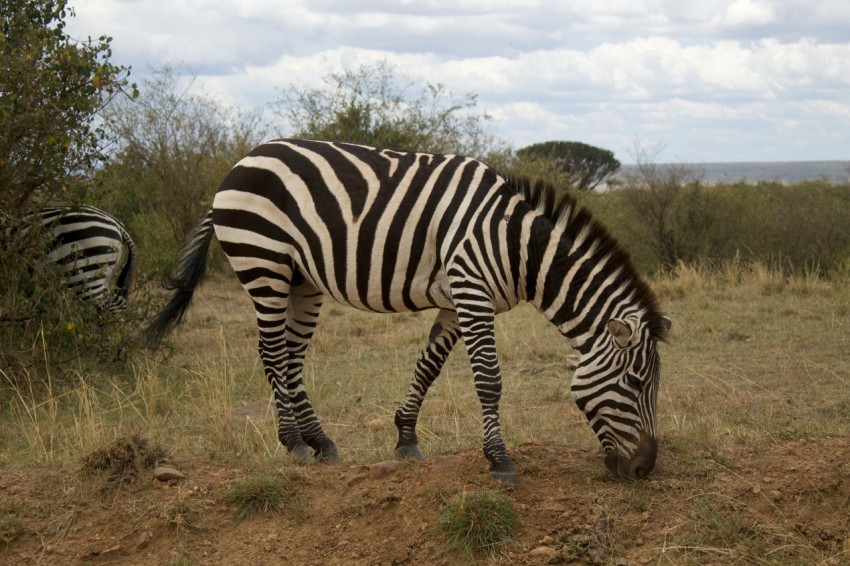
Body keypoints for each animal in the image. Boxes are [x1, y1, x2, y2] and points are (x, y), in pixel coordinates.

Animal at [146, 140, 672, 486]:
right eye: (636, 383)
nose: (644, 469)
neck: (515, 245)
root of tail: (240, 162)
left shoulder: (455, 301)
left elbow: (428, 367)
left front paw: (405, 436)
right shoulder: (472, 291)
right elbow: (488, 380)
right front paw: (500, 460)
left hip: (302, 279)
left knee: (291, 357)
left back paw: (320, 441)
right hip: (263, 262)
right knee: (273, 353)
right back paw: (293, 441)